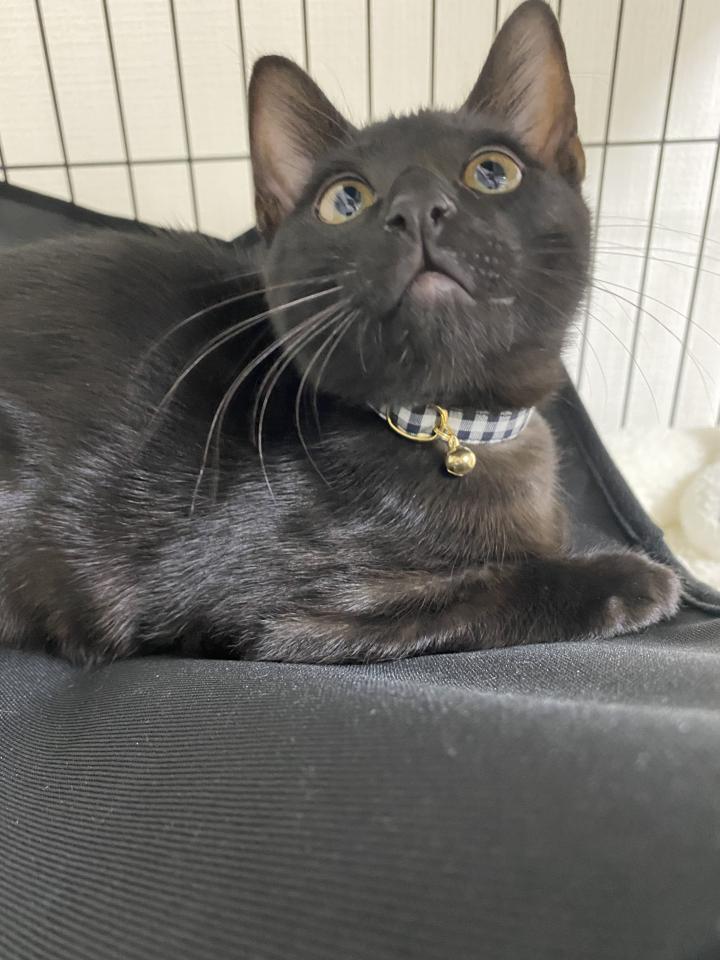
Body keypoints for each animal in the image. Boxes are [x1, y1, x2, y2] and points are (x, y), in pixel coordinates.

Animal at [0, 0, 680, 665]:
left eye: (493, 173)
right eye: (345, 201)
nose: (417, 207)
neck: (453, 427)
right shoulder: (303, 610)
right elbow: (490, 588)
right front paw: (634, 577)